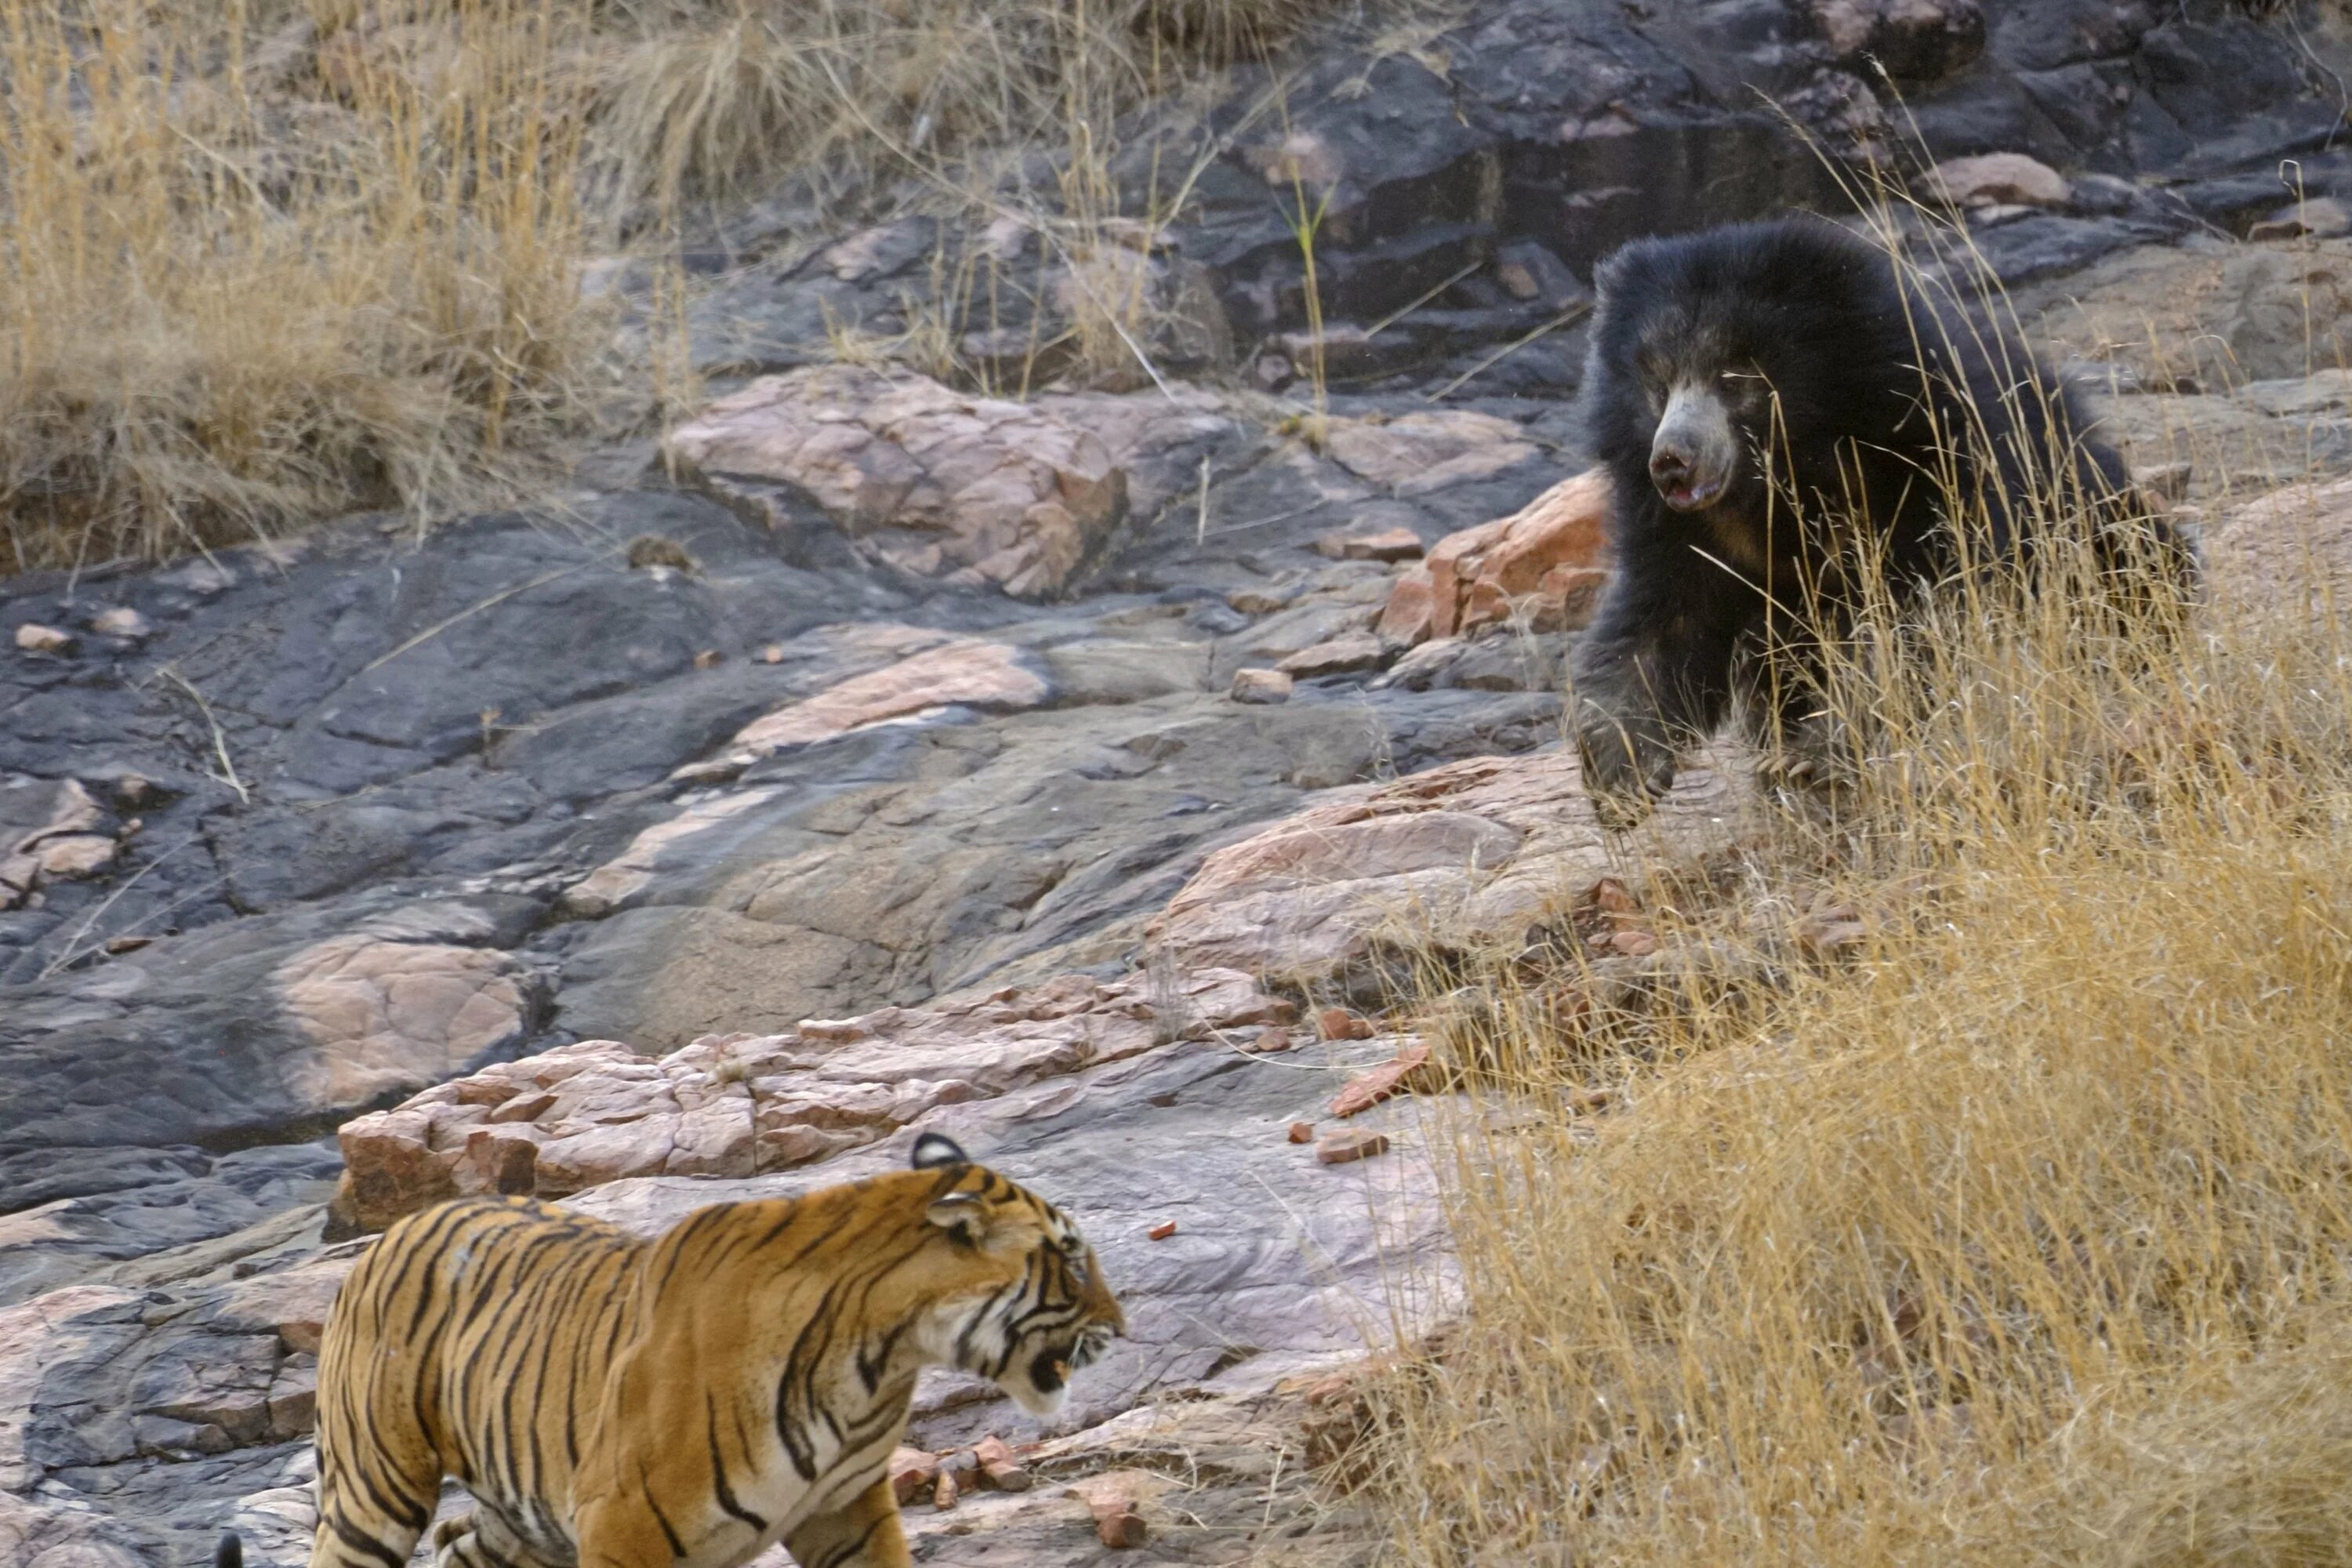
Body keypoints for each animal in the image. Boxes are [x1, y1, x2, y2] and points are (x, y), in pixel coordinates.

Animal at [216, 1133, 1124, 1568]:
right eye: (1072, 1257)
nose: (1121, 1323)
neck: (880, 1358)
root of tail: (396, 1227)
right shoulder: (621, 1520)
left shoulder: (844, 1511)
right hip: (376, 1488)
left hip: (524, 1513)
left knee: (461, 1548)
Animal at [1571, 215, 2192, 827]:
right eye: (1657, 383)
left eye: (1734, 379)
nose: (1672, 460)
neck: (1789, 467)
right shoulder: (1685, 528)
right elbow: (1664, 621)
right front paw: (1619, 772)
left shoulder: (1931, 462)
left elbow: (1914, 611)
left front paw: (1815, 754)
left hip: (2084, 508)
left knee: (2131, 567)